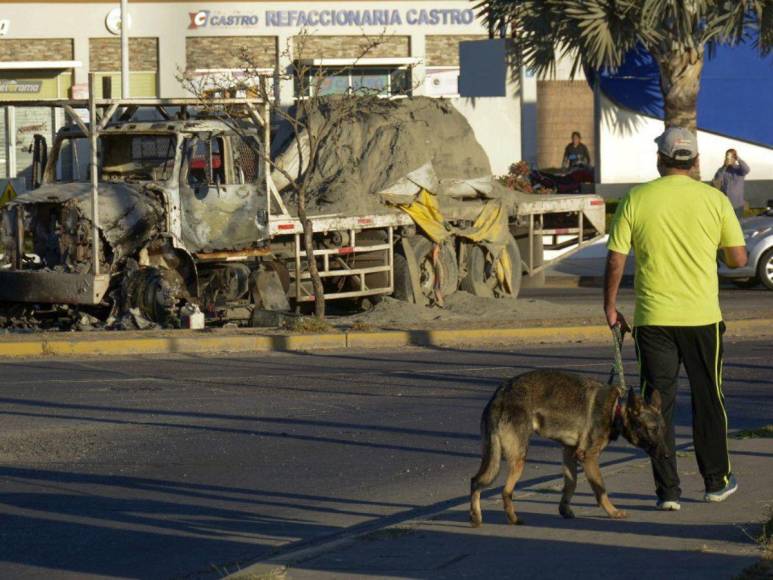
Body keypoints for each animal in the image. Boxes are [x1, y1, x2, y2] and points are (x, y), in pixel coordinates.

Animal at [468, 372, 668, 524]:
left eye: (663, 429)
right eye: (652, 429)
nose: (667, 456)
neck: (616, 408)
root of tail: (500, 395)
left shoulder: (569, 453)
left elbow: (571, 484)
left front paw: (564, 509)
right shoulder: (589, 457)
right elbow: (601, 490)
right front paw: (613, 512)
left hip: (493, 457)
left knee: (475, 481)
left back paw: (475, 516)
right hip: (518, 459)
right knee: (505, 491)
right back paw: (513, 518)